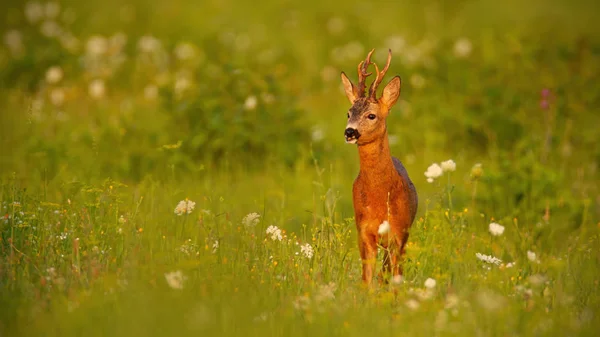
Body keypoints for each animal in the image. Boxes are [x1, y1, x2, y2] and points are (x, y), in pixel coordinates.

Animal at [340, 49, 420, 284]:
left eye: (371, 115)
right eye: (349, 113)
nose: (350, 132)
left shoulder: (399, 233)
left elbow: (396, 279)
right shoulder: (364, 232)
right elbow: (367, 280)